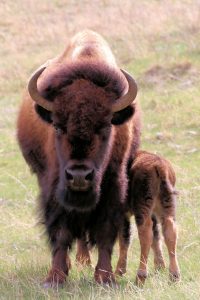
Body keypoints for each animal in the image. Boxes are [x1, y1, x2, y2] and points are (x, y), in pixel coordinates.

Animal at [16, 29, 141, 286]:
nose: (79, 176)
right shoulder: (54, 188)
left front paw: (105, 277)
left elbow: (105, 231)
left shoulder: (113, 185)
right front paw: (55, 277)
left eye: (105, 127)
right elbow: (61, 232)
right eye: (57, 126)